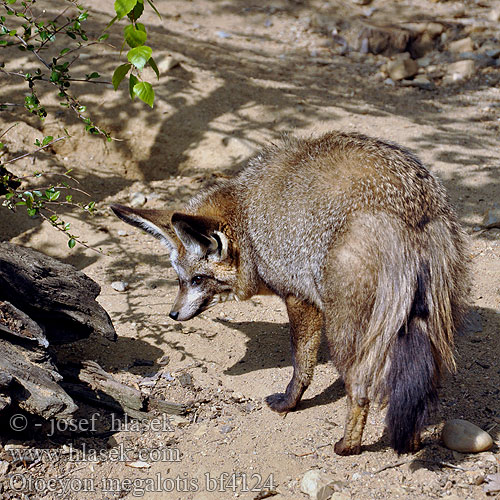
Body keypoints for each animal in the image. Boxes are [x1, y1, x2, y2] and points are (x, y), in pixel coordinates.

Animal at [112, 131, 468, 456]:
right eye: (180, 279)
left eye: (198, 279)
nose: (172, 314)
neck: (247, 218)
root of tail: (409, 208)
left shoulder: (301, 299)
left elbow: (301, 364)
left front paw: (288, 402)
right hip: (424, 324)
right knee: (420, 390)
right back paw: (412, 442)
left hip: (344, 331)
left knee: (359, 389)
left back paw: (348, 446)